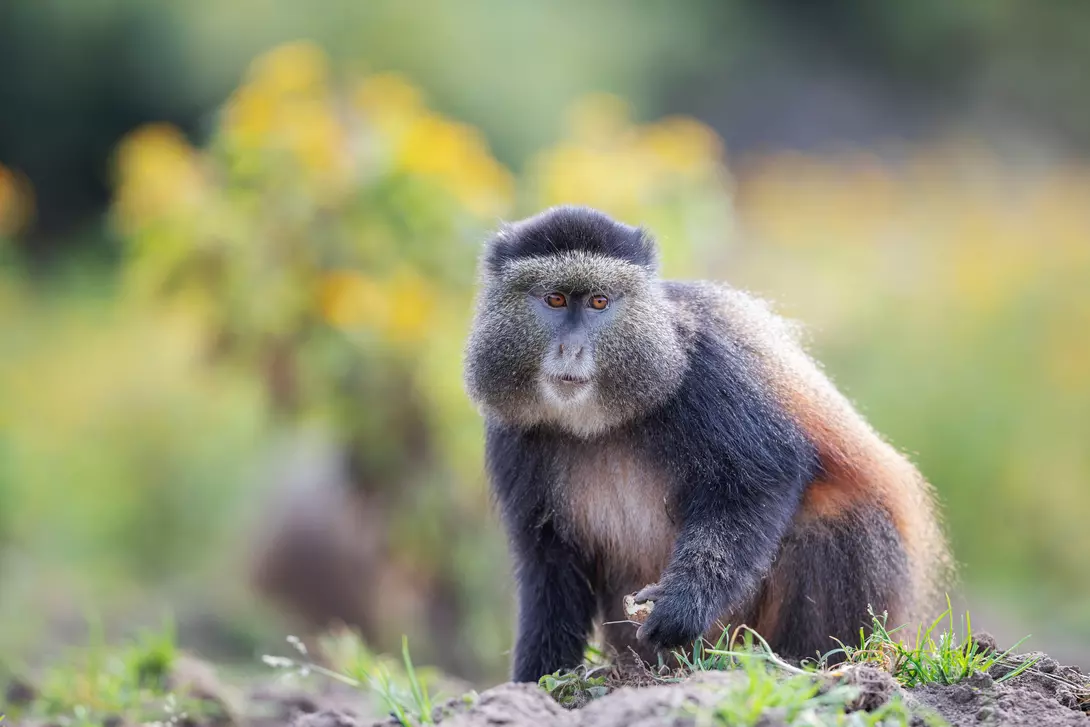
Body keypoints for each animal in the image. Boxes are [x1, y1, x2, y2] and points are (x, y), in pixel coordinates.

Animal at [463, 205, 951, 683]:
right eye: (555, 299)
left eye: (599, 301)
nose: (572, 349)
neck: (597, 421)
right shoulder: (511, 434)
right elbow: (549, 562)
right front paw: (535, 682)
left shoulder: (704, 369)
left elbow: (762, 477)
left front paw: (681, 607)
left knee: (830, 521)